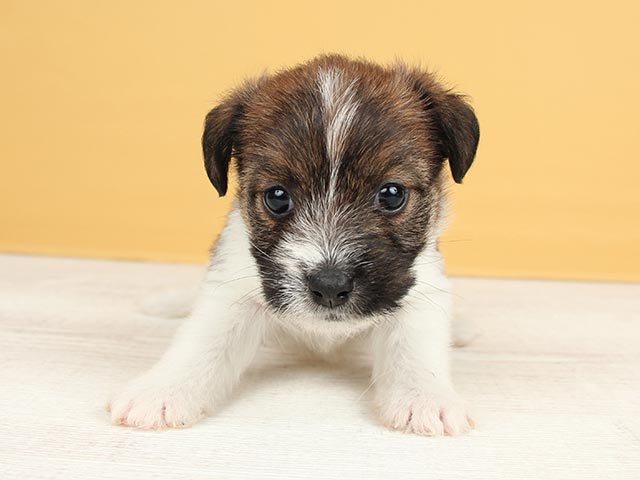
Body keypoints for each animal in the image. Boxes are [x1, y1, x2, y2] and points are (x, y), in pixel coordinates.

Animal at [110, 55, 480, 436]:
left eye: (392, 194)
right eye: (277, 197)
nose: (330, 286)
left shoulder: (419, 289)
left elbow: (414, 348)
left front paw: (426, 398)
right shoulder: (232, 290)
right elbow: (203, 342)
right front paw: (162, 391)